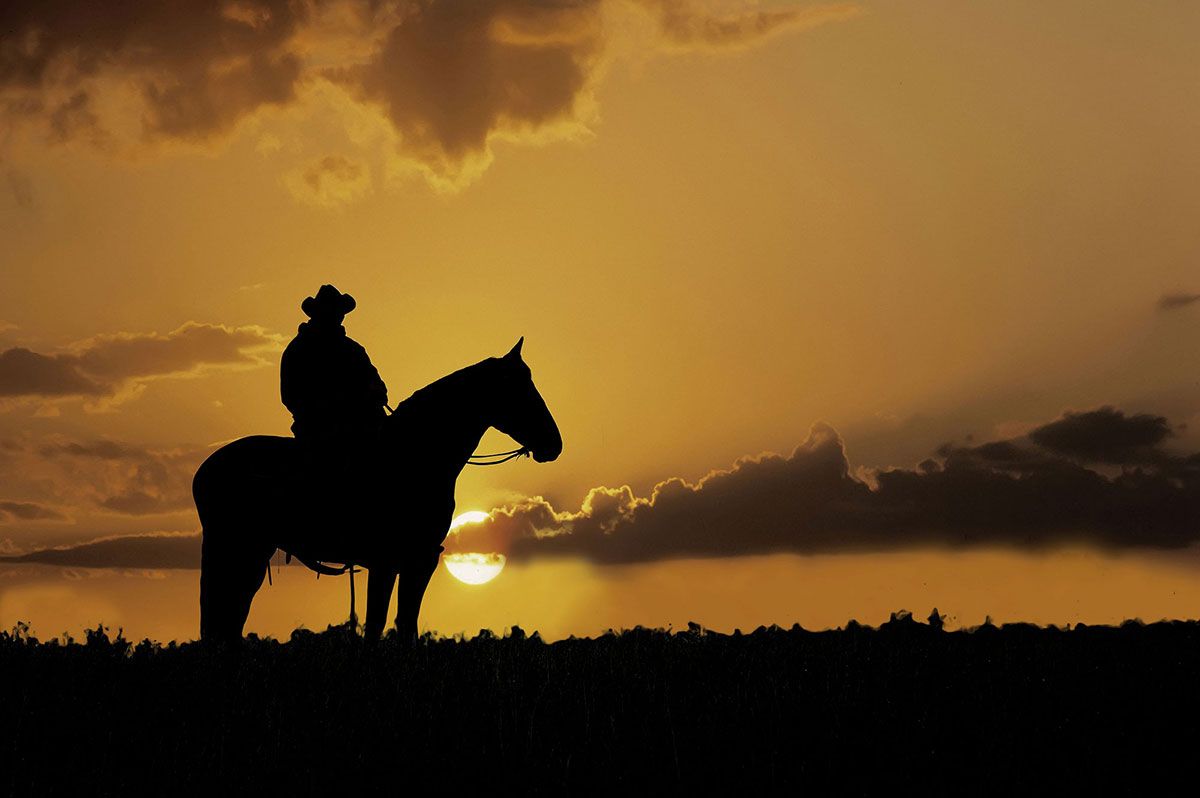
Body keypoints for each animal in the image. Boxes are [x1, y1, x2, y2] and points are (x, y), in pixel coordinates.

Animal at [192, 338, 561, 642]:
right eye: (520, 389)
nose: (554, 444)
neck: (412, 456)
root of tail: (205, 470)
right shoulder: (387, 561)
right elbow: (377, 624)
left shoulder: (418, 559)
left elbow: (404, 625)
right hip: (237, 548)